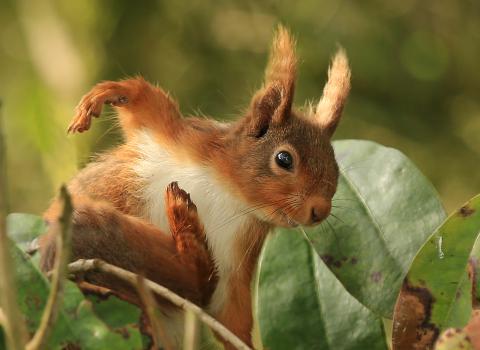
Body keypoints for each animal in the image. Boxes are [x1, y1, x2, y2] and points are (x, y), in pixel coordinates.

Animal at [39, 26, 350, 348]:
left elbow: (231, 314)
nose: (320, 210)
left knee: (198, 285)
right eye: (284, 159)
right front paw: (107, 93)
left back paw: (184, 226)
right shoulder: (178, 136)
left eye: (336, 165)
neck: (229, 192)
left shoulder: (238, 255)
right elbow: (148, 107)